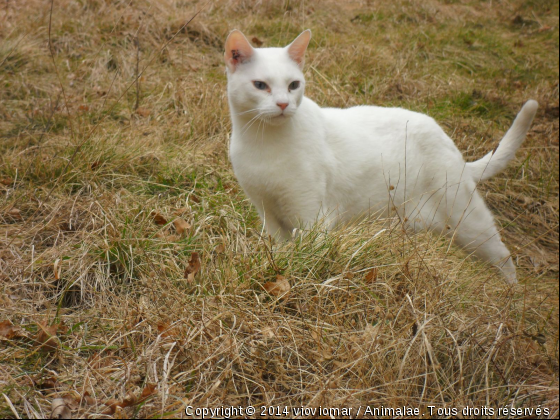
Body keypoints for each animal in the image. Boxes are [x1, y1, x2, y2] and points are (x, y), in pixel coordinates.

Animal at [223, 29, 540, 284]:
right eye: (260, 85)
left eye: (293, 85)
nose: (283, 104)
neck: (263, 142)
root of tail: (454, 150)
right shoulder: (268, 214)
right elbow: (277, 250)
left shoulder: (311, 216)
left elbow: (307, 255)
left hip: (469, 223)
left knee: (504, 257)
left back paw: (512, 300)